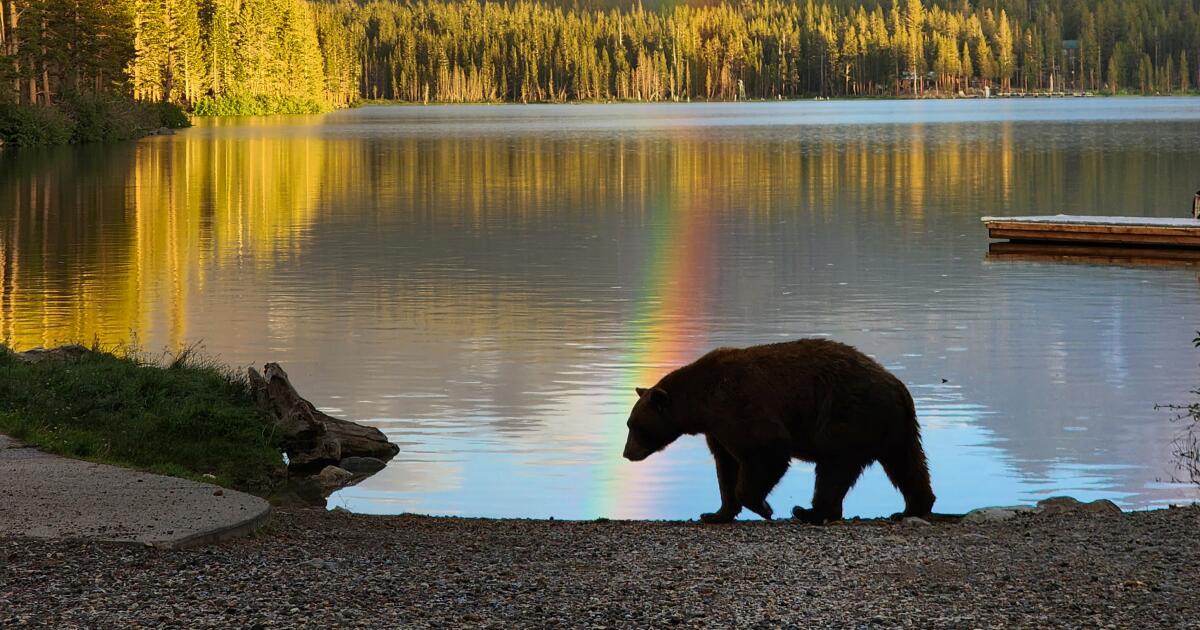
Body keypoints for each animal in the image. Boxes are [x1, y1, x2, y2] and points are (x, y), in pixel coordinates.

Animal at [622, 339, 935, 524]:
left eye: (635, 426)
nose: (626, 453)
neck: (701, 404)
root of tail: (898, 387)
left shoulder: (738, 405)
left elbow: (765, 450)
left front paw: (763, 507)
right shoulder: (718, 430)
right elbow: (726, 466)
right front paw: (715, 513)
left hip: (846, 415)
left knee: (833, 468)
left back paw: (809, 512)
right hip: (894, 427)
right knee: (906, 464)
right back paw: (912, 507)